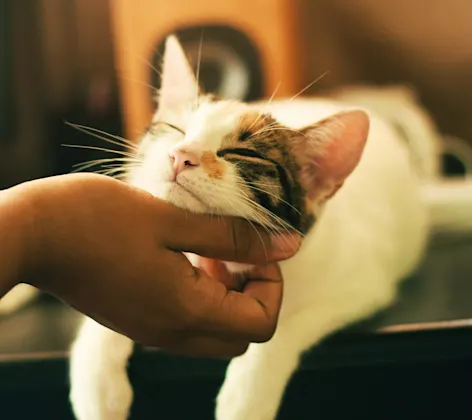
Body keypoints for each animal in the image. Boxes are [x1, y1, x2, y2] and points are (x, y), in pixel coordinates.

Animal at [67, 37, 472, 420]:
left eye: (242, 154)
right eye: (174, 129)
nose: (181, 155)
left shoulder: (361, 285)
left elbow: (285, 327)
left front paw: (244, 398)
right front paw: (97, 382)